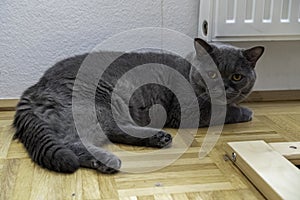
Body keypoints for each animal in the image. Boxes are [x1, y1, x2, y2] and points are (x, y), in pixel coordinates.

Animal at [12, 38, 264, 173]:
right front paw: (246, 112)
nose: (224, 87)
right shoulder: (187, 111)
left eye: (237, 77)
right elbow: (224, 111)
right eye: (211, 74)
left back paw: (159, 138)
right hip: (100, 100)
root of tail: (34, 87)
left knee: (114, 130)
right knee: (75, 141)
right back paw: (109, 160)